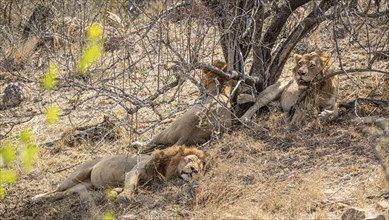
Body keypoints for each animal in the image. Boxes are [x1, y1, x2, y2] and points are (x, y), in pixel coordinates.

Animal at [31, 146, 208, 206]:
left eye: (199, 168)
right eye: (190, 160)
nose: (193, 170)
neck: (167, 168)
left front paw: (117, 191)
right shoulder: (135, 170)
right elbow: (130, 184)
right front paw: (125, 196)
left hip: (84, 186)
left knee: (63, 194)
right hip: (76, 175)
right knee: (56, 189)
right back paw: (36, 198)